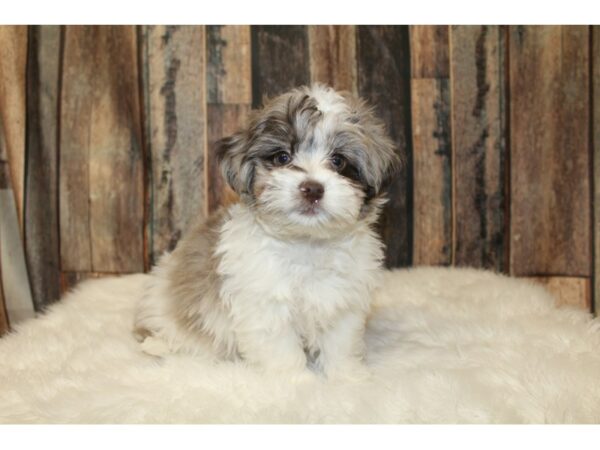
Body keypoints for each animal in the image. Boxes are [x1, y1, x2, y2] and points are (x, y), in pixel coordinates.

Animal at [135, 82, 398, 378]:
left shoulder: (342, 301)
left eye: (339, 161)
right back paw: (162, 345)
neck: (306, 243)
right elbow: (282, 349)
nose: (312, 188)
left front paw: (348, 376)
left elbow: (340, 342)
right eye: (282, 157)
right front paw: (296, 380)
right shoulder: (265, 306)